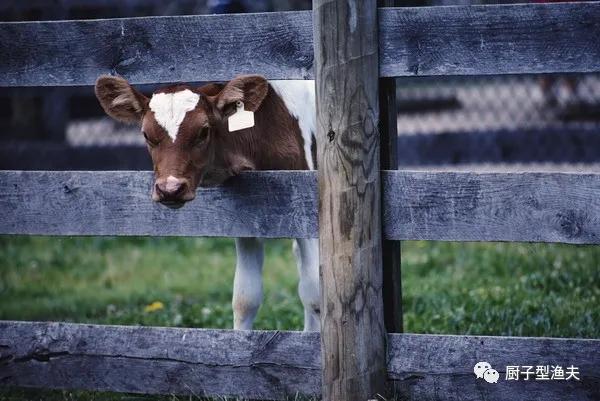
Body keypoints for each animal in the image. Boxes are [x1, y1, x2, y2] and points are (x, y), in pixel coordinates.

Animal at [95, 75, 318, 332]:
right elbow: (245, 298)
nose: (170, 188)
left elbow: (314, 293)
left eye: (203, 131)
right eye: (146, 135)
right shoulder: (248, 221)